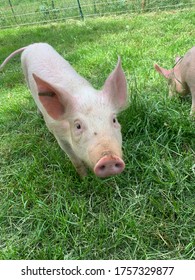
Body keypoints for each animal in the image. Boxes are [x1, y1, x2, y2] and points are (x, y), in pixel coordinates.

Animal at [0, 43, 128, 177]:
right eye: (78, 126)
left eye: (114, 120)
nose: (109, 159)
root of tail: (32, 45)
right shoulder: (58, 134)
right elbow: (75, 160)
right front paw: (84, 178)